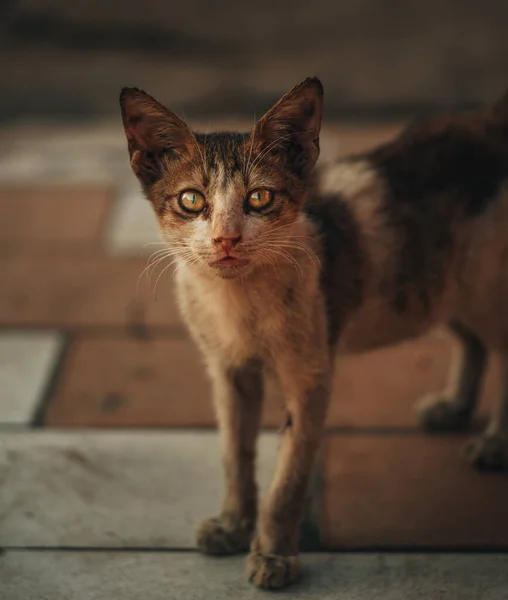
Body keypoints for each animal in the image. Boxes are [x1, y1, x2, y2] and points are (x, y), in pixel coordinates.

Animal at [121, 79, 508, 592]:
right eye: (191, 200)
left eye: (260, 198)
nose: (226, 239)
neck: (237, 303)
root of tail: (488, 120)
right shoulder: (227, 370)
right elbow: (234, 453)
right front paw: (232, 524)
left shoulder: (309, 377)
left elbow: (288, 477)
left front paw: (274, 555)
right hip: (439, 285)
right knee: (472, 338)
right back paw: (455, 406)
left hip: (483, 284)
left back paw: (495, 442)